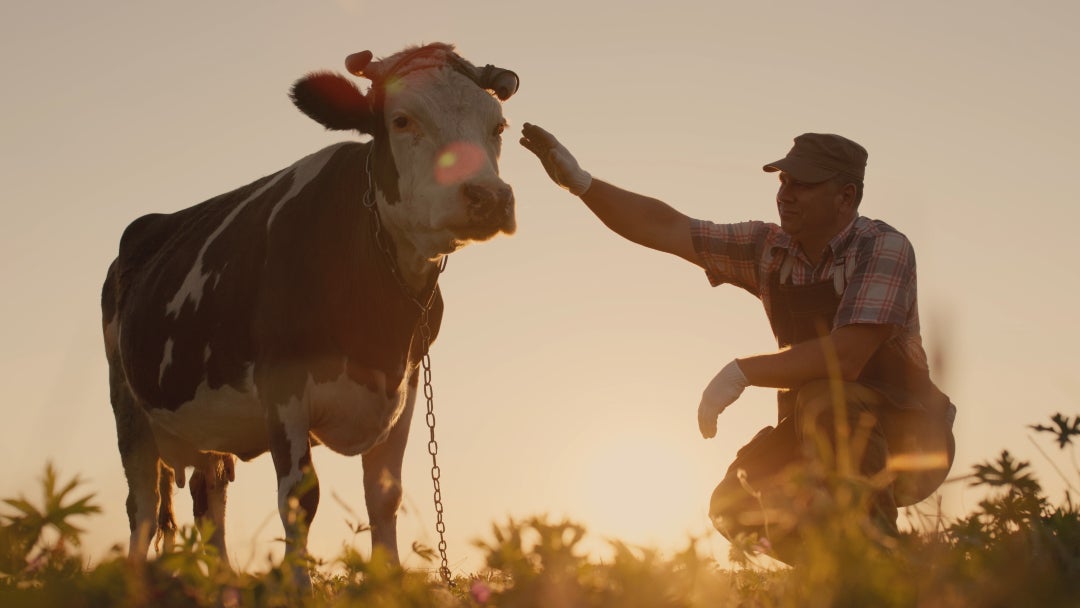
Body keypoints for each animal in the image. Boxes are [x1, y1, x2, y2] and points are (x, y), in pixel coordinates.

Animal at [100, 42, 518, 583]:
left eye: (498, 126)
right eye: (402, 120)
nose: (489, 197)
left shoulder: (402, 388)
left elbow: (385, 498)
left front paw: (386, 583)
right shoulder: (283, 389)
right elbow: (300, 499)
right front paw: (298, 585)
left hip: (205, 423)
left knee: (208, 500)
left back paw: (224, 582)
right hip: (128, 407)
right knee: (145, 507)